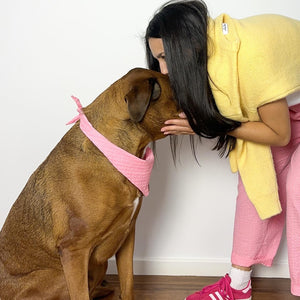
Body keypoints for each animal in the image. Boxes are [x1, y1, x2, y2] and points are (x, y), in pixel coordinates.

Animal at [0, 68, 179, 300]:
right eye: (177, 93)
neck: (111, 151)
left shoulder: (127, 236)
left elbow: (128, 283)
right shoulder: (74, 251)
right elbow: (81, 294)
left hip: (98, 265)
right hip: (62, 274)